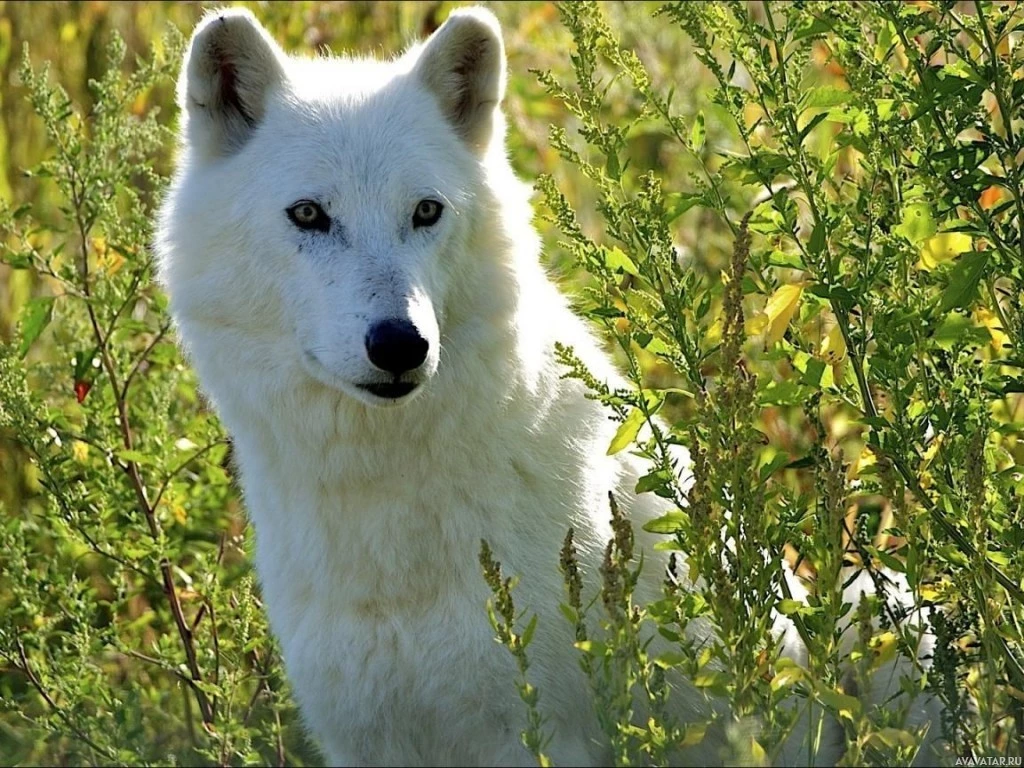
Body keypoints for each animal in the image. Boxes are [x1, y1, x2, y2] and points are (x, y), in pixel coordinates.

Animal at [159, 7, 942, 768]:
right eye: (309, 214)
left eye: (425, 211)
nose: (401, 344)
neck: (384, 515)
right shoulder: (362, 741)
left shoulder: (536, 731)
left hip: (891, 610)